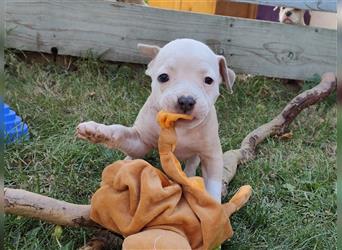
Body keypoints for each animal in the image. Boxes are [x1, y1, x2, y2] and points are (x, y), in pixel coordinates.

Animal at [75, 38, 235, 201]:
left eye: (209, 80)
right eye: (163, 77)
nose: (186, 101)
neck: (179, 128)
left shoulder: (212, 155)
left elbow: (213, 185)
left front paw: (213, 205)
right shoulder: (140, 141)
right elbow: (120, 132)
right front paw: (98, 131)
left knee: (191, 163)